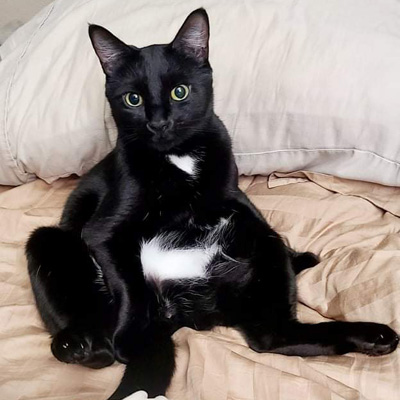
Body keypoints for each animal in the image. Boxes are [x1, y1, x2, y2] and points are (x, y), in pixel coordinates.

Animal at [25, 8, 396, 400]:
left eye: (180, 91)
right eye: (132, 100)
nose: (159, 123)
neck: (178, 157)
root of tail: (184, 312)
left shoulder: (237, 201)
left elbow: (252, 216)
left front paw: (300, 257)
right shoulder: (103, 231)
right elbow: (129, 283)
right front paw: (129, 337)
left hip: (261, 261)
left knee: (273, 334)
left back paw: (375, 336)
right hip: (48, 241)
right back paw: (81, 345)